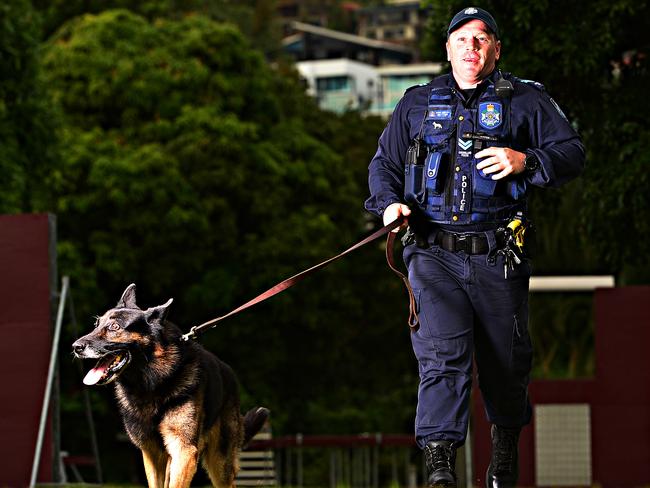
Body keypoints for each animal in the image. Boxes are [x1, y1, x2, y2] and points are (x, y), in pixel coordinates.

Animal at [73, 284, 268, 486]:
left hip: (220, 465)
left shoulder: (184, 450)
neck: (151, 384)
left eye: (114, 327)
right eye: (96, 325)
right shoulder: (152, 454)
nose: (75, 347)